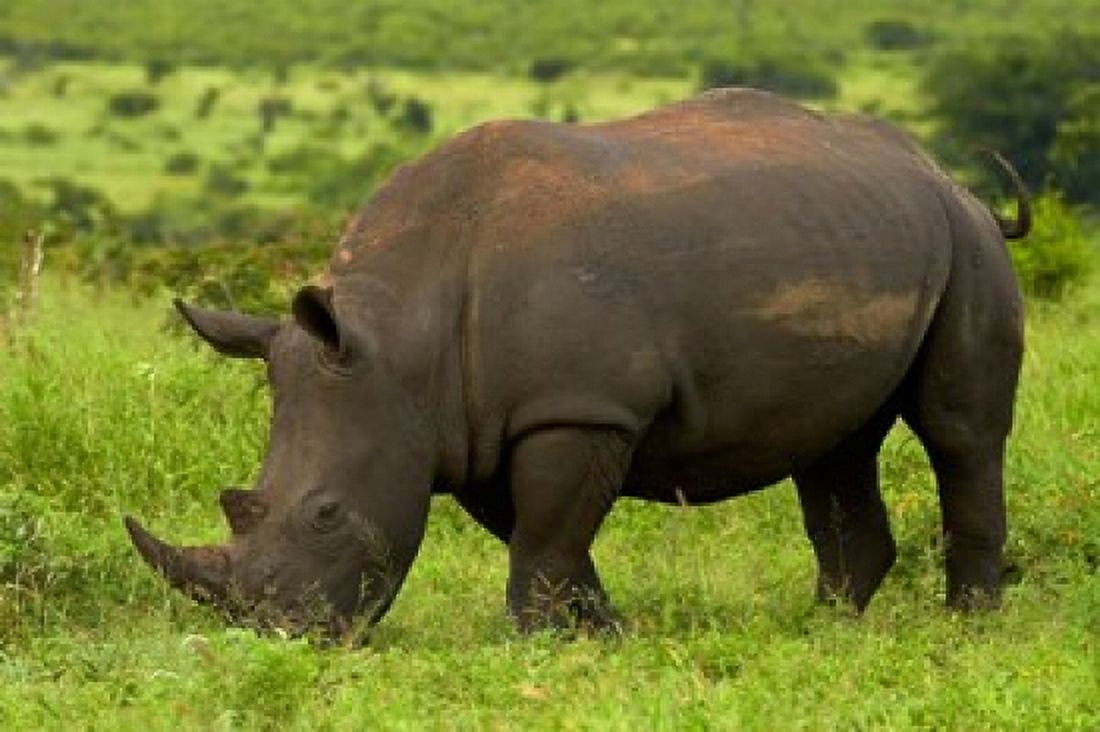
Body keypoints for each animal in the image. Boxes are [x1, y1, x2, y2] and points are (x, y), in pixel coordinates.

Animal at [126, 88, 1029, 637]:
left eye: (326, 514)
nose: (281, 636)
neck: (399, 340)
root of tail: (942, 173)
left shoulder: (580, 406)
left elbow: (547, 537)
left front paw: (535, 644)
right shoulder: (476, 424)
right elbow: (540, 538)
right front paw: (603, 635)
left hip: (967, 244)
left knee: (960, 434)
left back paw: (968, 628)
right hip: (852, 238)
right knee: (834, 448)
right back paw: (824, 629)